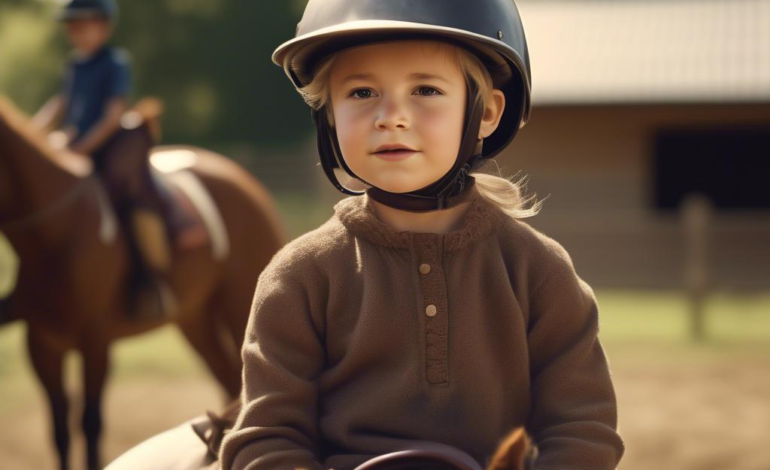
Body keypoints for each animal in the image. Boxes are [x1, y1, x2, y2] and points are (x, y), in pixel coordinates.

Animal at [0, 96, 284, 470]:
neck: (57, 231)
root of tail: (244, 180)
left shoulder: (95, 340)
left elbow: (90, 422)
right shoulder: (42, 344)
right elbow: (59, 428)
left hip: (240, 307)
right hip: (195, 319)